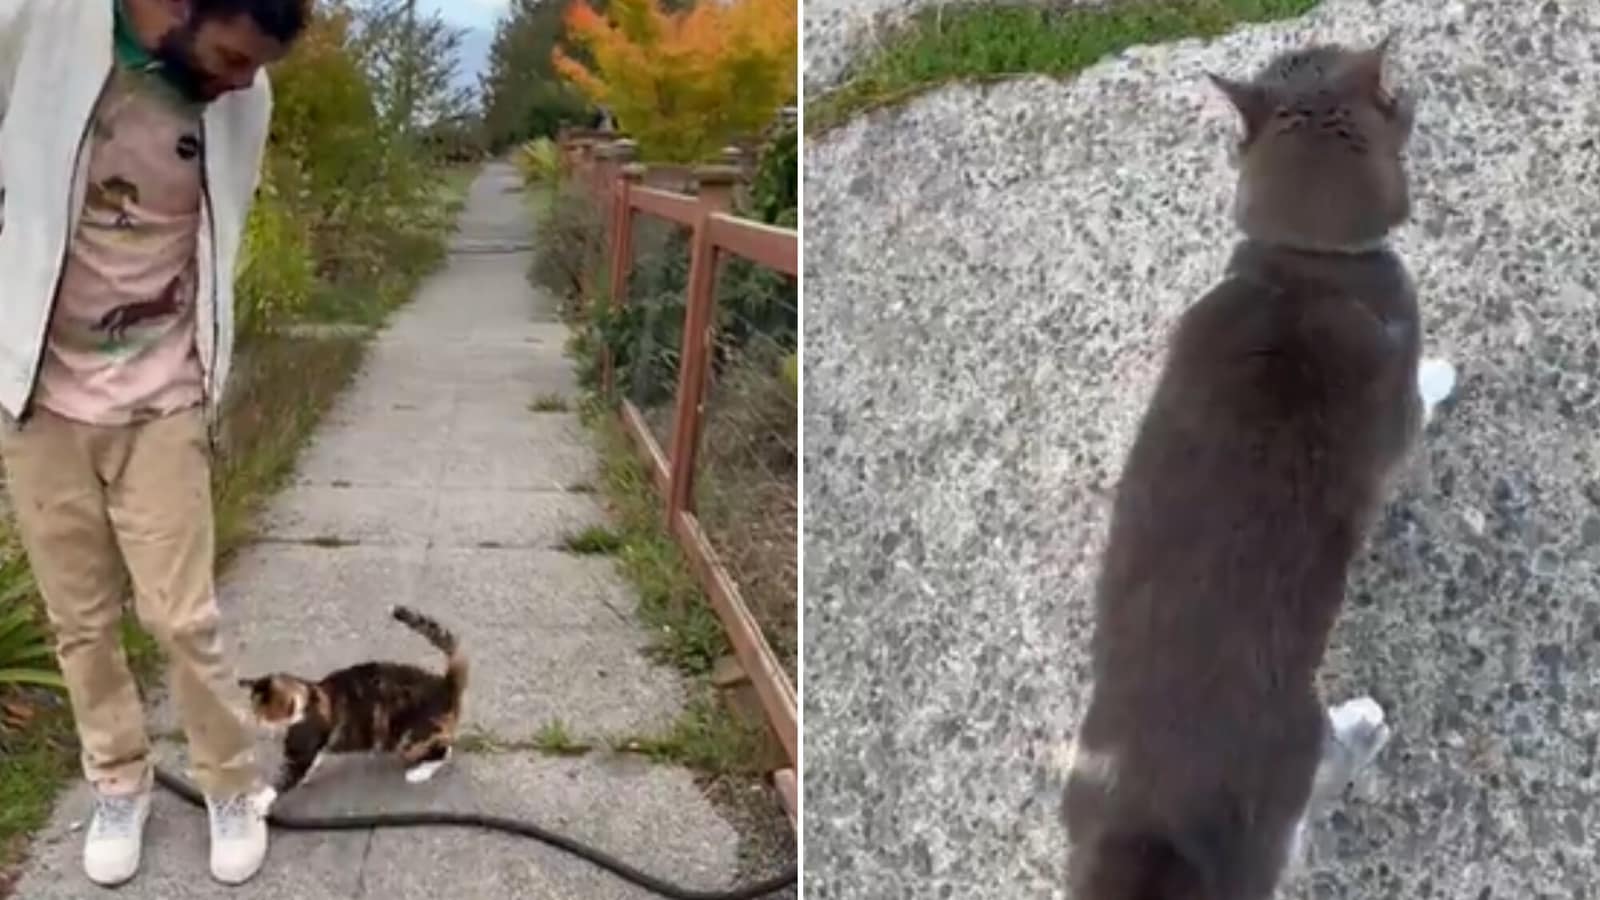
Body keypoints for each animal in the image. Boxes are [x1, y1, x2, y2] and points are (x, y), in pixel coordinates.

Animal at [238, 602, 467, 791]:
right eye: (254, 711)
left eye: (262, 714)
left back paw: (420, 773)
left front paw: (256, 803)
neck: (307, 697)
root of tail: (445, 684)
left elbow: (282, 780)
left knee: (444, 751)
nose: (256, 723)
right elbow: (314, 759)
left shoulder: (302, 747)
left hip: (409, 739)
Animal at [1062, 36, 1452, 896]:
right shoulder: (1396, 395)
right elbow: (1419, 395)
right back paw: (1364, 725)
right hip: (1288, 763)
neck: (1302, 265)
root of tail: (1152, 815)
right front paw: (1446, 373)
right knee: (1323, 774)